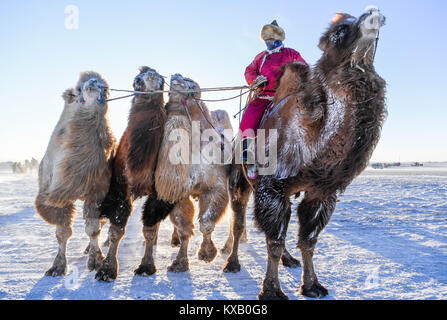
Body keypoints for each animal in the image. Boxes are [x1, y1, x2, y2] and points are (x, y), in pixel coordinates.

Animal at [35, 71, 115, 276]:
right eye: (78, 89)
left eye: (106, 88)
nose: (94, 83)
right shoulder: (56, 195)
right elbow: (62, 232)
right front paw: (57, 267)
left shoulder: (97, 193)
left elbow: (93, 229)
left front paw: (95, 261)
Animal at [96, 67, 170, 280]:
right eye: (136, 81)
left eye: (162, 82)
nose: (149, 82)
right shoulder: (120, 187)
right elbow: (116, 229)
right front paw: (106, 270)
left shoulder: (158, 192)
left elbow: (150, 228)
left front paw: (146, 266)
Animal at [132, 73, 233, 276]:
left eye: (192, 84)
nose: (176, 76)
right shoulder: (178, 194)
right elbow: (184, 228)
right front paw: (177, 263)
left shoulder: (216, 186)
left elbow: (206, 222)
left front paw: (207, 253)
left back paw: (229, 249)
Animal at [229, 7, 386, 298]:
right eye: (340, 31)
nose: (372, 13)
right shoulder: (271, 187)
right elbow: (274, 241)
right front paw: (271, 290)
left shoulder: (321, 192)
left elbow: (308, 240)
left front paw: (312, 285)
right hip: (239, 181)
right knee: (238, 222)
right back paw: (231, 263)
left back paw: (289, 260)